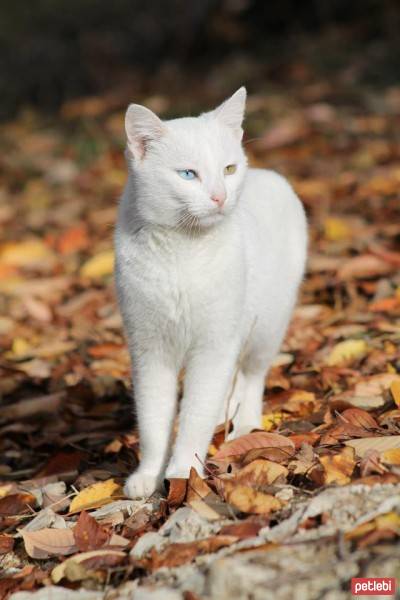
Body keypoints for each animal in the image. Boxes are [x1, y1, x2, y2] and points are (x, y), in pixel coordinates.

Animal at [114, 86, 308, 500]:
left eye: (229, 170)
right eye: (188, 174)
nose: (220, 196)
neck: (183, 252)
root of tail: (270, 176)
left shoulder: (214, 344)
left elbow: (194, 417)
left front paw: (182, 474)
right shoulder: (149, 349)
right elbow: (153, 421)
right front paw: (148, 475)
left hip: (266, 325)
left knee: (252, 375)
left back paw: (246, 424)